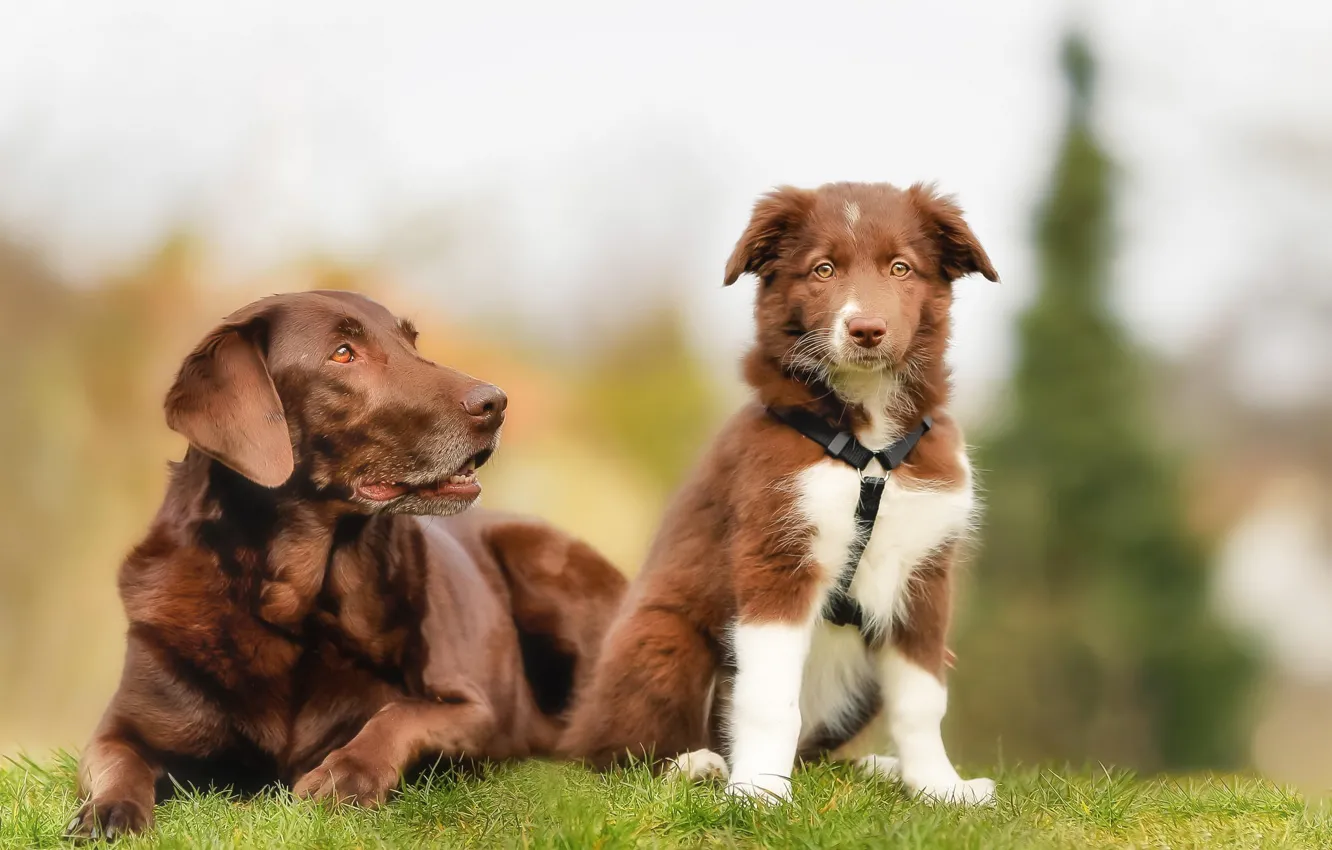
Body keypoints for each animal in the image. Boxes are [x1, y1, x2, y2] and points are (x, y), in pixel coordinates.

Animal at [62, 294, 623, 847]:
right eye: (343, 354)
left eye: (411, 341)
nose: (496, 402)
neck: (295, 608)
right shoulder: (120, 727)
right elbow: (118, 763)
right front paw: (107, 811)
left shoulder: (474, 708)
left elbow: (398, 714)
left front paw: (345, 774)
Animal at [559, 179, 1001, 804]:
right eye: (822, 270)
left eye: (900, 268)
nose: (867, 330)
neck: (867, 442)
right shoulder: (777, 556)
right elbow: (769, 699)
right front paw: (759, 793)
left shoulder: (924, 575)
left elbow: (921, 698)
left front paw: (940, 787)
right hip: (661, 637)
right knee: (608, 754)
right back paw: (695, 765)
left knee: (819, 752)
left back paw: (876, 769)